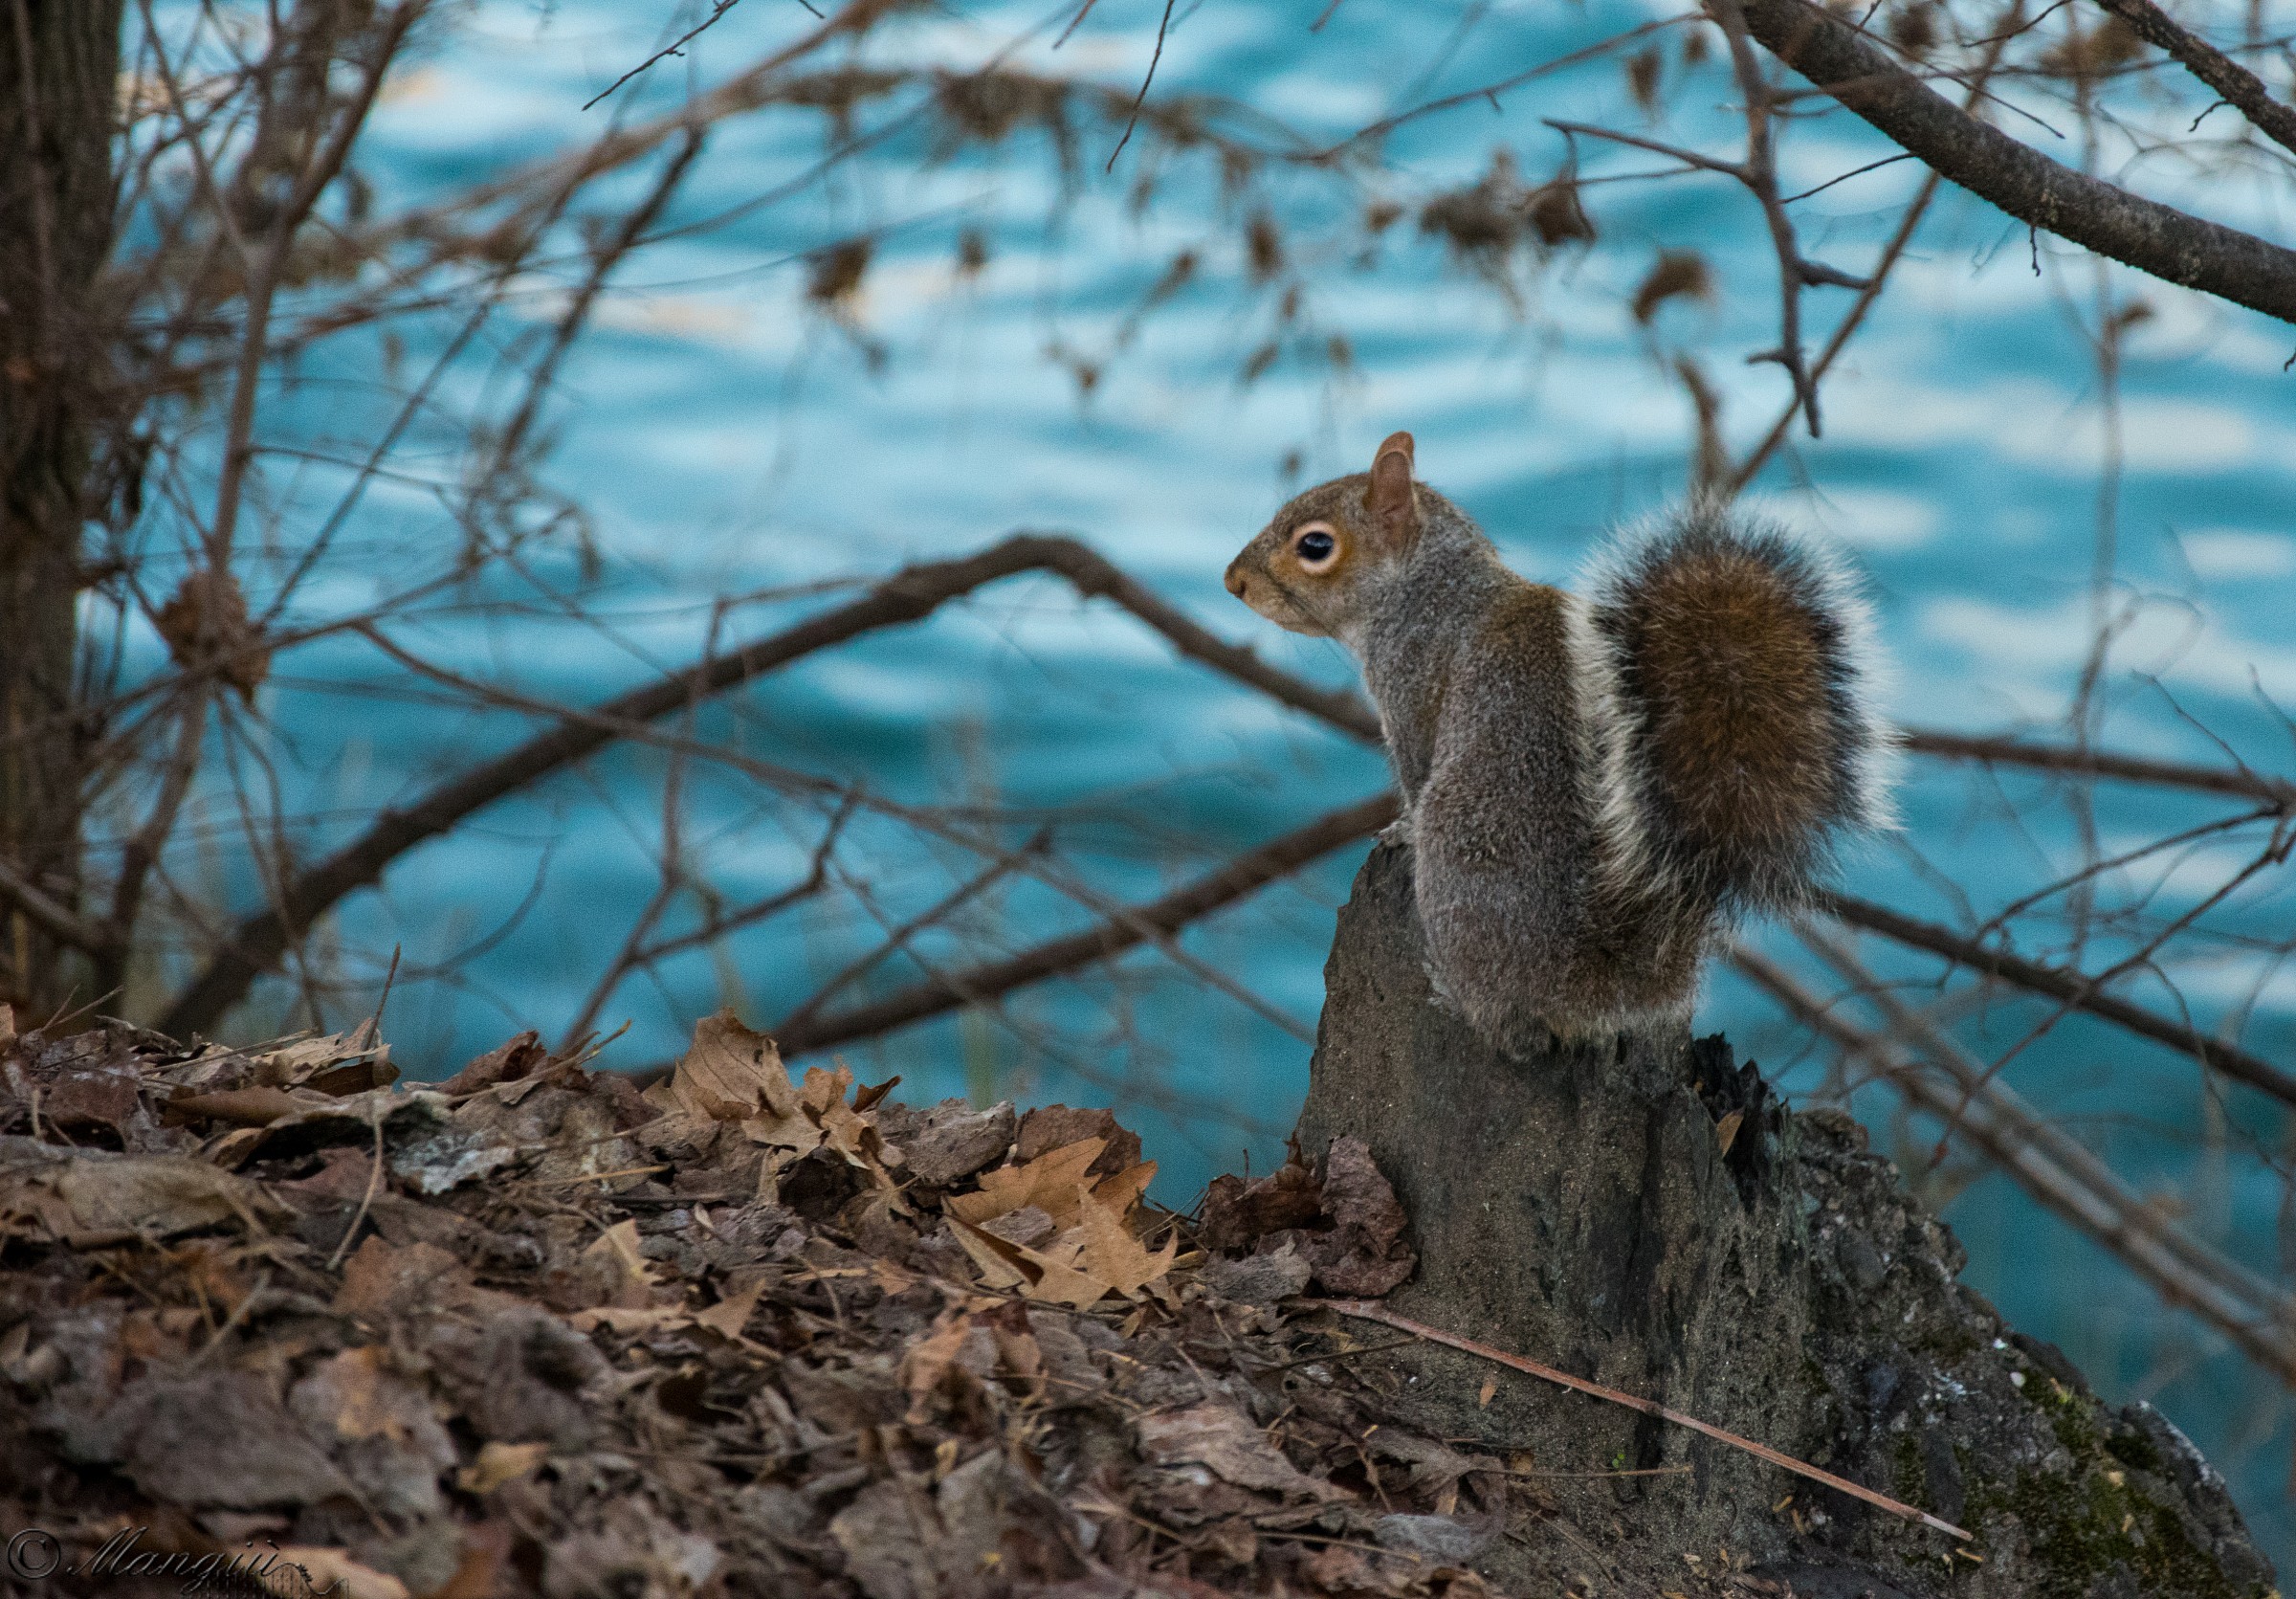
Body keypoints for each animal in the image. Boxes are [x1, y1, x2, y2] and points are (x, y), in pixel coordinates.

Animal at [1224, 431, 1894, 1051]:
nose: (1233, 582)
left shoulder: (1413, 698)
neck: (1427, 589)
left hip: (1460, 862)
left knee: (1508, 1028)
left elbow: (1413, 782)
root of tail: (1590, 979)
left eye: (1315, 545)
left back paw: (1448, 991)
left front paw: (1398, 831)